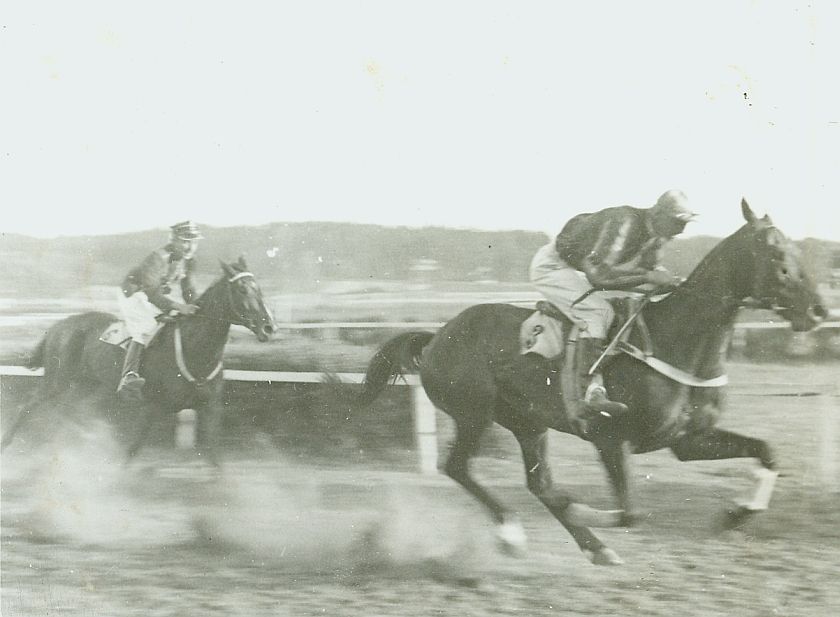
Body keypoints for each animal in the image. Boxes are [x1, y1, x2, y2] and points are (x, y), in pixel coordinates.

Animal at [1, 256, 277, 466]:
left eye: (259, 289)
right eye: (242, 289)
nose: (269, 326)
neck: (196, 350)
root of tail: (59, 325)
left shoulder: (210, 408)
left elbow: (215, 458)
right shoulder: (151, 405)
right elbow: (132, 449)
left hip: (88, 384)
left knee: (69, 410)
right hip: (57, 379)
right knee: (28, 404)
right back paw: (7, 443)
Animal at [357, 200, 827, 565]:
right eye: (776, 254)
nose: (819, 310)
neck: (678, 340)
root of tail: (437, 335)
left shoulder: (687, 439)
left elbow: (767, 451)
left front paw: (738, 513)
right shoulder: (609, 437)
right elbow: (631, 513)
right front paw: (582, 509)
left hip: (527, 423)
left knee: (539, 484)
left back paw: (592, 546)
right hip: (474, 413)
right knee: (458, 468)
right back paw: (514, 533)